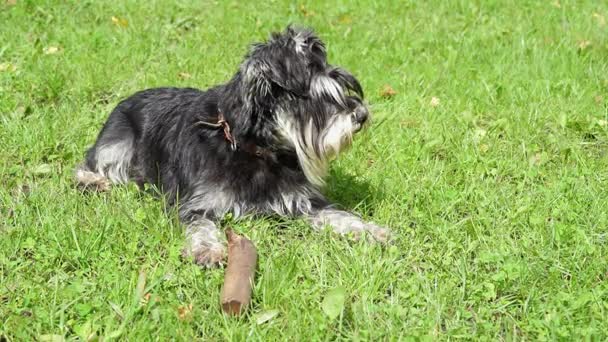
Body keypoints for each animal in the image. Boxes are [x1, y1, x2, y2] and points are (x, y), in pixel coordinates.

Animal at [76, 26, 392, 268]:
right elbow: (201, 227)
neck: (251, 148)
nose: (361, 115)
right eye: (317, 96)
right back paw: (93, 182)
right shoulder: (195, 204)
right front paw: (207, 250)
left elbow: (338, 215)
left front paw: (370, 230)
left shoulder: (304, 202)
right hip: (115, 146)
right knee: (89, 163)